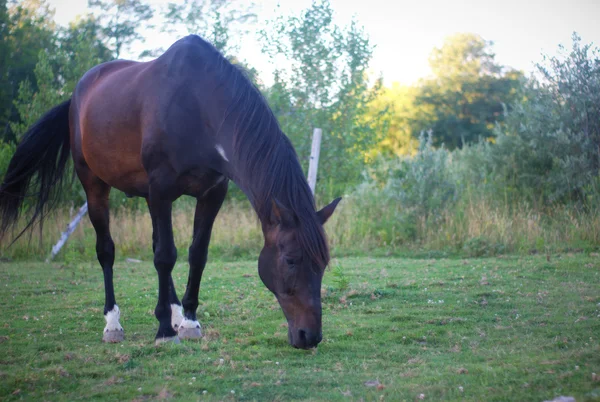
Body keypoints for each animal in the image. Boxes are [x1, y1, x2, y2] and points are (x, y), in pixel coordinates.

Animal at [0, 34, 340, 348]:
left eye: (323, 263)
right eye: (291, 260)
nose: (309, 336)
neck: (198, 108)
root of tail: (76, 97)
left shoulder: (211, 193)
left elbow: (196, 254)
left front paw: (187, 320)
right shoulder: (161, 189)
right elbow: (165, 256)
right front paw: (164, 330)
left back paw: (174, 313)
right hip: (94, 184)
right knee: (107, 250)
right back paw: (113, 324)